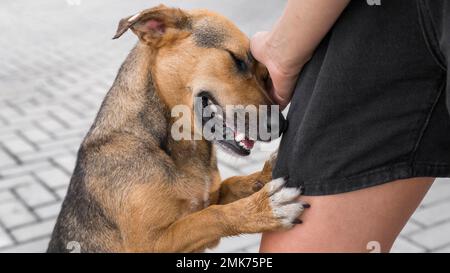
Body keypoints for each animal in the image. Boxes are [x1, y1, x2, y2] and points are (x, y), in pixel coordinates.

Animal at [47, 4, 306, 252]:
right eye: (236, 59)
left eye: (265, 76)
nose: (282, 125)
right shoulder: (151, 243)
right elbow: (209, 217)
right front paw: (263, 208)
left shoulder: (211, 195)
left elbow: (232, 184)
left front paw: (264, 175)